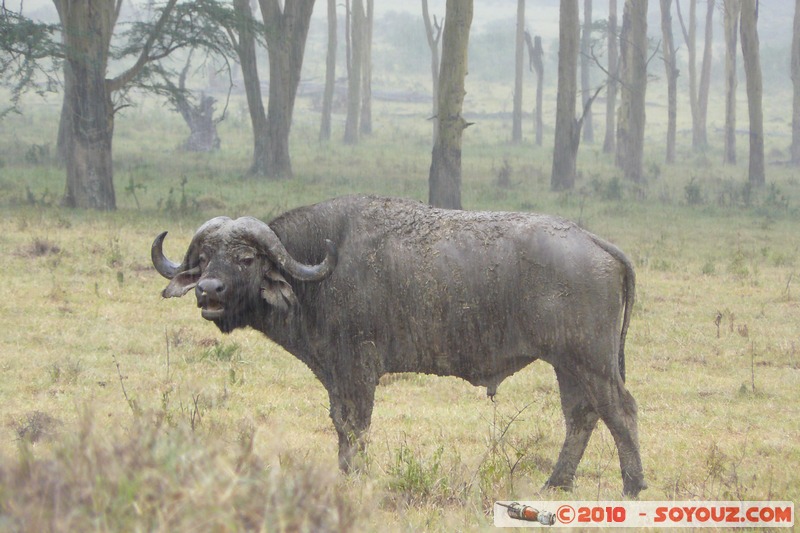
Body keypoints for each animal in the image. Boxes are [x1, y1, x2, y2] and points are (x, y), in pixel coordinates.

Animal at [153, 194, 648, 494]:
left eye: (245, 258)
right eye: (204, 258)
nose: (209, 291)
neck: (319, 273)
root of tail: (593, 241)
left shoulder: (357, 369)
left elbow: (354, 425)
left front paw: (354, 476)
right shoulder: (336, 374)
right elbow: (340, 424)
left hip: (591, 360)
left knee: (620, 412)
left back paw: (632, 487)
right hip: (567, 363)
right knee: (581, 415)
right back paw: (556, 484)